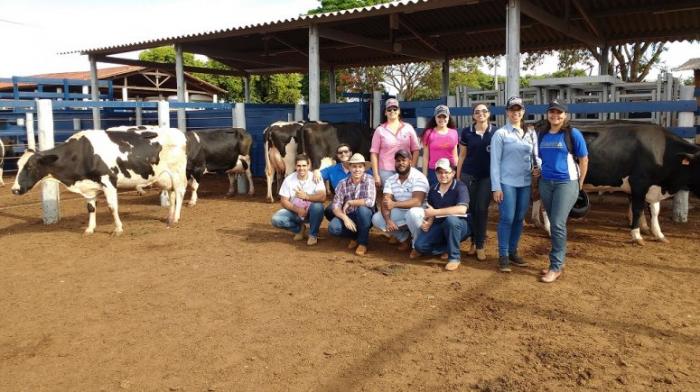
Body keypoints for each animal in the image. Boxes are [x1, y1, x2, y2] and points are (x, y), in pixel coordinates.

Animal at [12, 127, 187, 234]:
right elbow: (91, 208)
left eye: (30, 166)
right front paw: (90, 229)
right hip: (165, 177)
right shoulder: (89, 187)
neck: (83, 153)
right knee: (172, 195)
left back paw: (176, 218)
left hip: (177, 172)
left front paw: (118, 228)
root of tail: (178, 133)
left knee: (179, 193)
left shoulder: (108, 181)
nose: (14, 189)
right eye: (18, 165)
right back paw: (169, 218)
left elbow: (111, 207)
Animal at [532, 119, 700, 243]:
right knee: (545, 205)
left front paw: (658, 234)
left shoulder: (653, 186)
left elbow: (655, 211)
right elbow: (638, 209)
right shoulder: (639, 183)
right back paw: (548, 229)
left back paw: (537, 222)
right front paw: (637, 235)